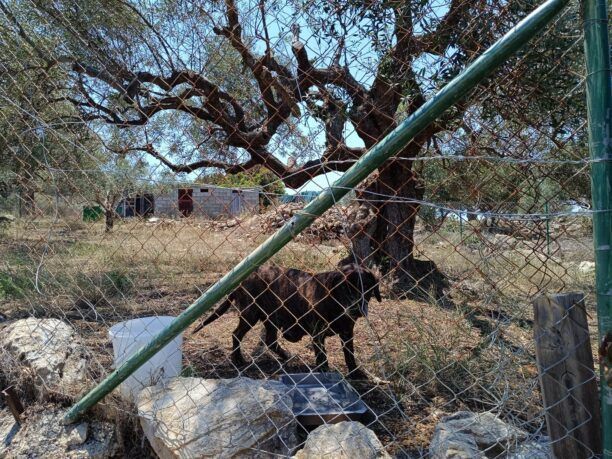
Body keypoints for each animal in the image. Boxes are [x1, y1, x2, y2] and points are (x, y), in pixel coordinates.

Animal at [194, 264, 380, 380]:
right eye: (345, 288)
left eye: (366, 287)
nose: (357, 309)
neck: (334, 303)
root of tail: (244, 278)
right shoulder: (318, 334)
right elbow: (322, 357)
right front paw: (324, 372)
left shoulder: (347, 332)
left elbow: (349, 354)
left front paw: (355, 373)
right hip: (250, 314)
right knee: (236, 334)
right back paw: (238, 358)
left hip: (271, 318)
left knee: (270, 340)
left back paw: (284, 355)